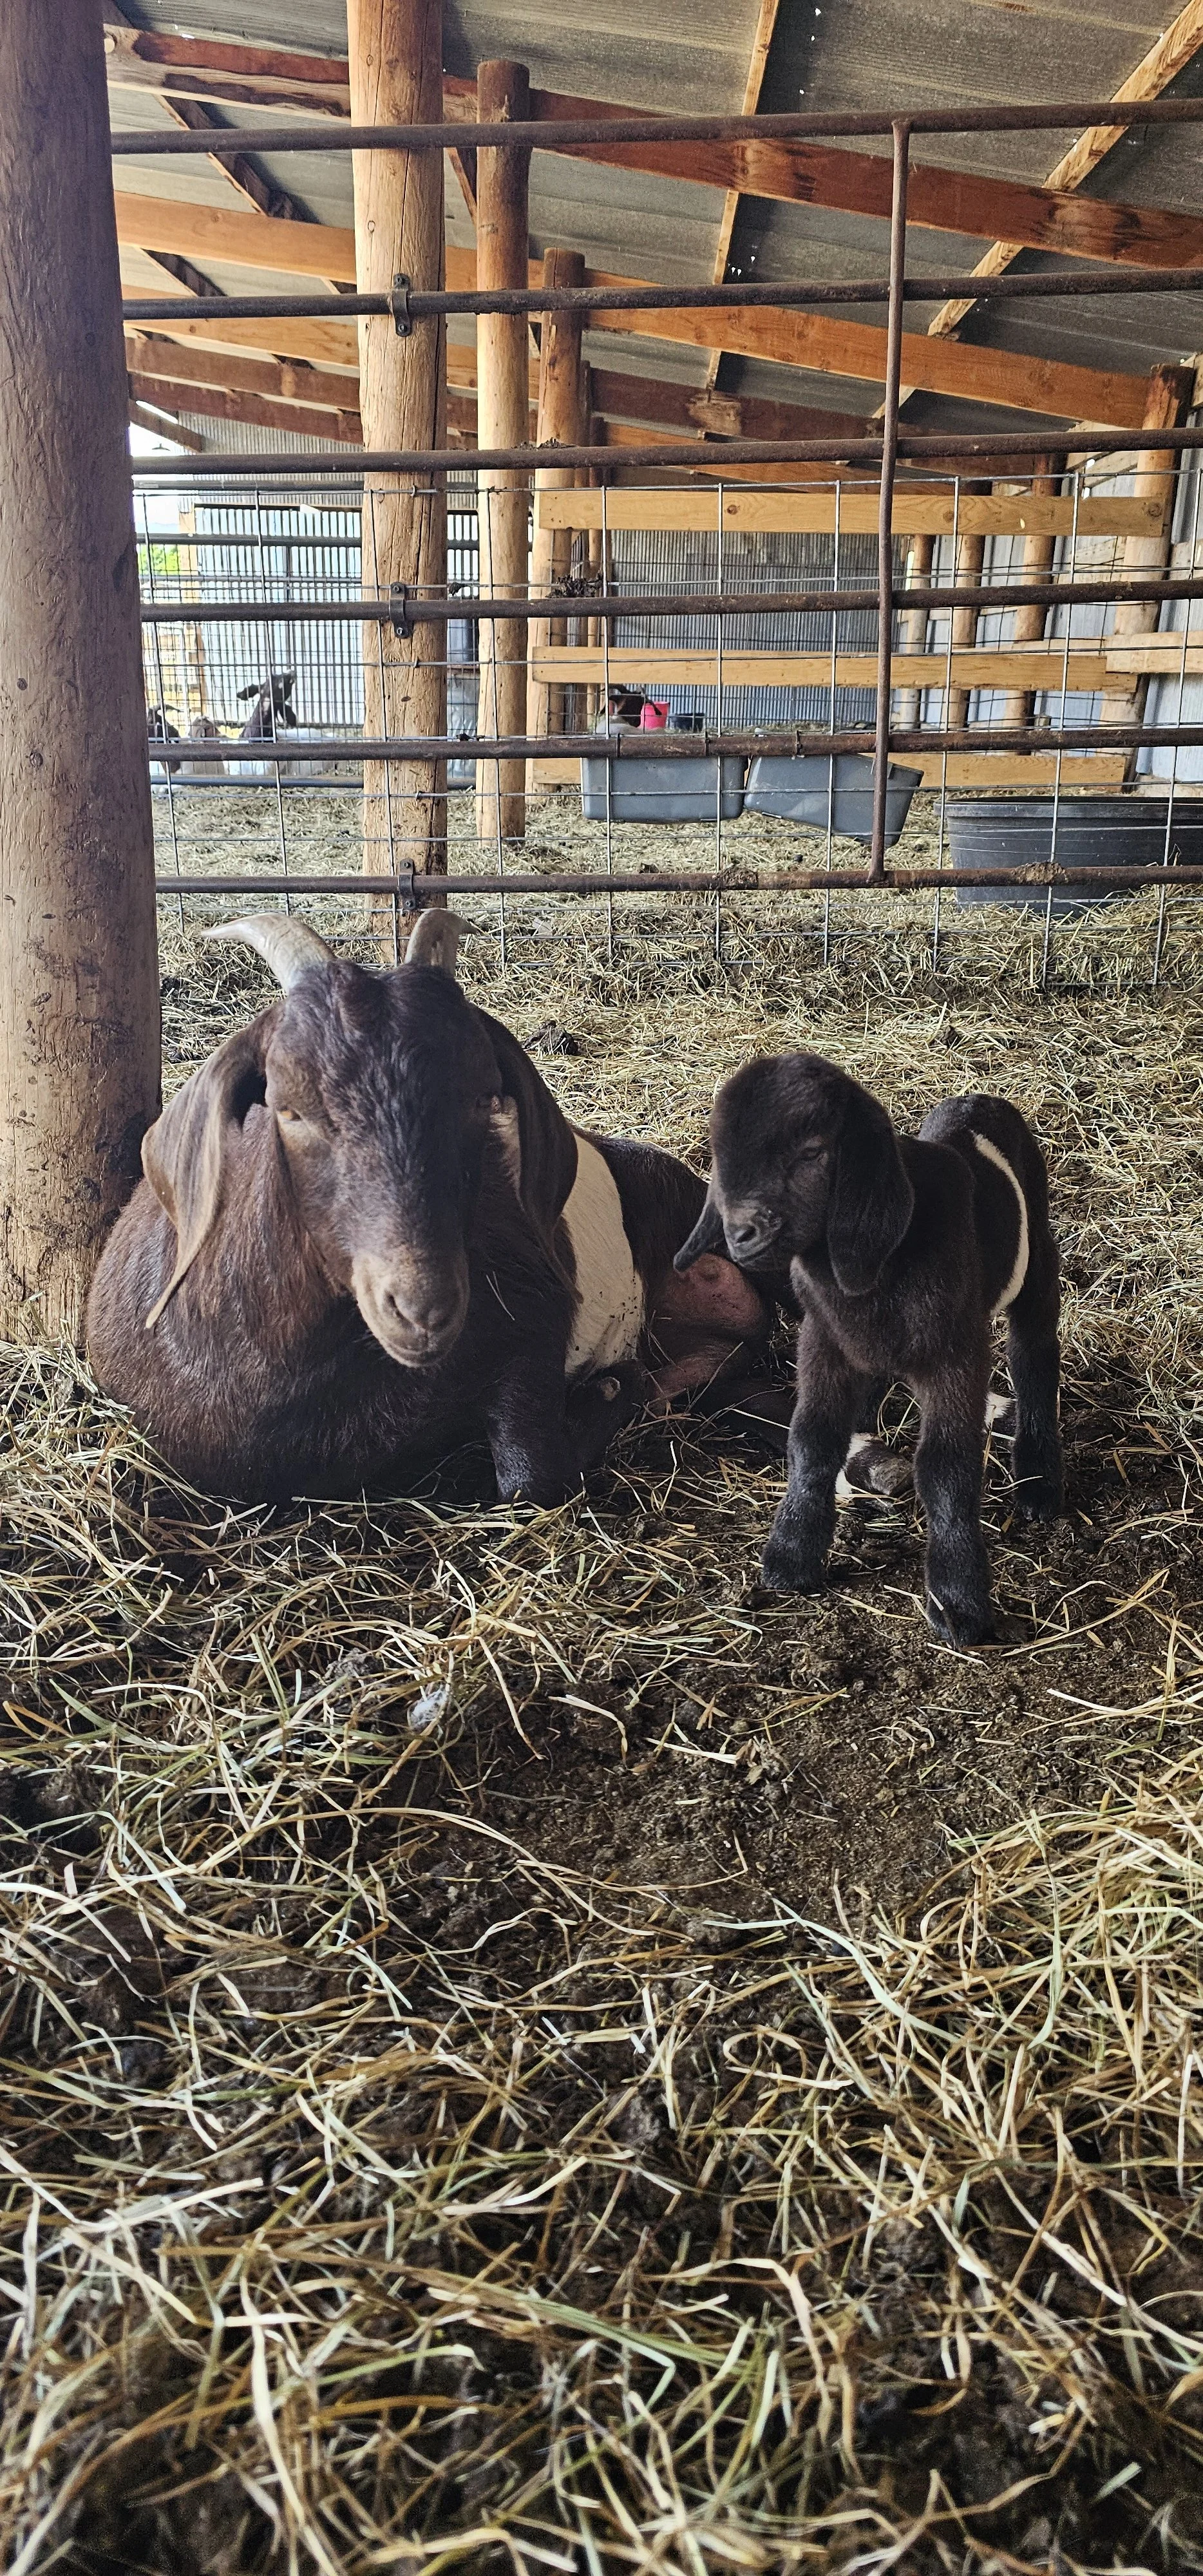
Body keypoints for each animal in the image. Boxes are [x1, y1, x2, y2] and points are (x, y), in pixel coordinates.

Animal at [85, 914, 772, 1505]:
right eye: (289, 1108)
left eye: (483, 1099)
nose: (424, 1308)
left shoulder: (533, 1312)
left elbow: (531, 1475)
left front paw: (610, 1387)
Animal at [674, 1052, 1062, 1645]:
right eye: (721, 1153)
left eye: (813, 1151)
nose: (741, 1236)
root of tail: (976, 1099)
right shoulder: (825, 1342)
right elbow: (811, 1439)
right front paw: (791, 1557)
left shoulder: (953, 1354)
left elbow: (946, 1466)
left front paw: (957, 1603)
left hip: (1036, 1253)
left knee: (1035, 1354)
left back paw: (1039, 1479)